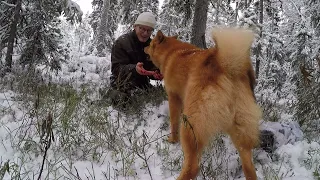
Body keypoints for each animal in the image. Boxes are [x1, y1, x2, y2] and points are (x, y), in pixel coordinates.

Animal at [144, 28, 262, 180]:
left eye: (150, 44)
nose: (144, 47)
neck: (172, 52)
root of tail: (228, 66)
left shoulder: (174, 97)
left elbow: (173, 122)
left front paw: (172, 140)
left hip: (191, 127)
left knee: (193, 167)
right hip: (241, 130)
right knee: (248, 166)